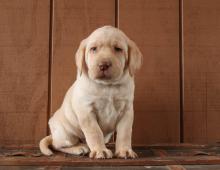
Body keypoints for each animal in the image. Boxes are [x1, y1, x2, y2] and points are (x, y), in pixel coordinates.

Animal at [39, 25, 143, 159]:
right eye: (93, 49)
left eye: (118, 49)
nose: (103, 65)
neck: (108, 86)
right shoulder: (86, 111)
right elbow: (95, 132)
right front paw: (100, 150)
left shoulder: (127, 111)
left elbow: (125, 133)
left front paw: (124, 150)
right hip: (66, 133)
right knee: (57, 145)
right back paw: (79, 148)